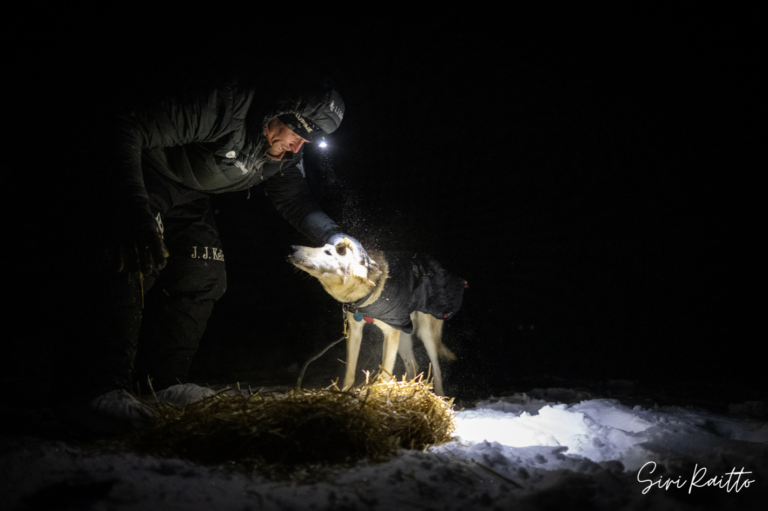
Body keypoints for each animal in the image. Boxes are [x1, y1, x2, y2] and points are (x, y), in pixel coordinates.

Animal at [290, 240, 464, 396]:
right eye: (323, 246)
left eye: (328, 252)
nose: (293, 247)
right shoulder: (355, 330)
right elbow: (350, 370)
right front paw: (345, 393)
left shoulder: (390, 333)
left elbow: (386, 372)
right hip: (403, 334)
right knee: (413, 365)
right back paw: (407, 388)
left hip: (426, 333)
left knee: (436, 369)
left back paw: (440, 397)